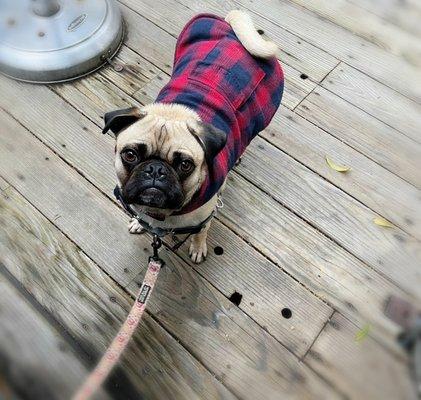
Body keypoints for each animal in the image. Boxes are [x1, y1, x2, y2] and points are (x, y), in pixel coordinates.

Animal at [103, 9, 284, 262]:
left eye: (185, 165)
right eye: (130, 155)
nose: (155, 170)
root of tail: (230, 27)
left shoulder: (204, 218)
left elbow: (201, 232)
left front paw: (198, 248)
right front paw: (139, 223)